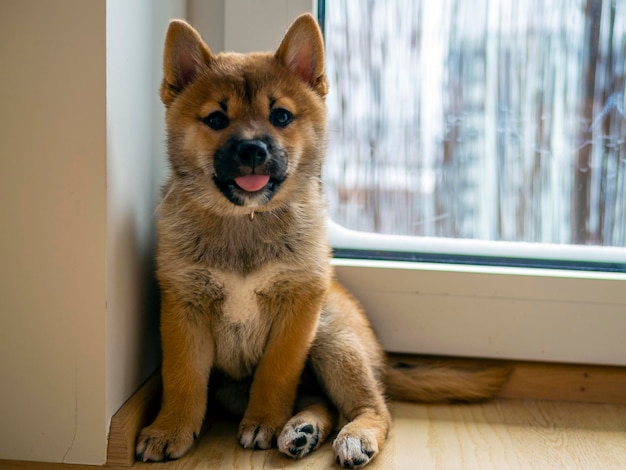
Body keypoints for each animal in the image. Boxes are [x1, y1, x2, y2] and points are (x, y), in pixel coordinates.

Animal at [136, 13, 508, 466]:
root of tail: (382, 360)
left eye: (280, 116)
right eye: (216, 120)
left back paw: (351, 435)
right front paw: (170, 428)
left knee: (374, 409)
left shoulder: (298, 311)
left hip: (333, 341)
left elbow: (276, 372)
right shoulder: (184, 308)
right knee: (323, 403)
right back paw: (303, 429)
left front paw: (265, 420)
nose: (253, 150)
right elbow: (183, 377)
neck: (246, 222)